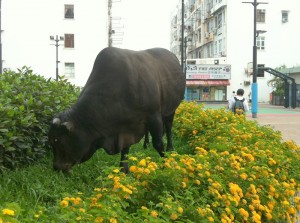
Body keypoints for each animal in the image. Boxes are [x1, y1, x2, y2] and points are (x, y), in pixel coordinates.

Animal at [48, 46, 185, 172]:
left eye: (60, 142)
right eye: (51, 142)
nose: (56, 167)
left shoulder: (153, 115)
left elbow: (158, 143)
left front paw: (165, 164)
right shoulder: (126, 126)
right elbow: (125, 148)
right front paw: (123, 169)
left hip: (171, 108)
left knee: (168, 127)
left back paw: (170, 148)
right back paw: (145, 144)